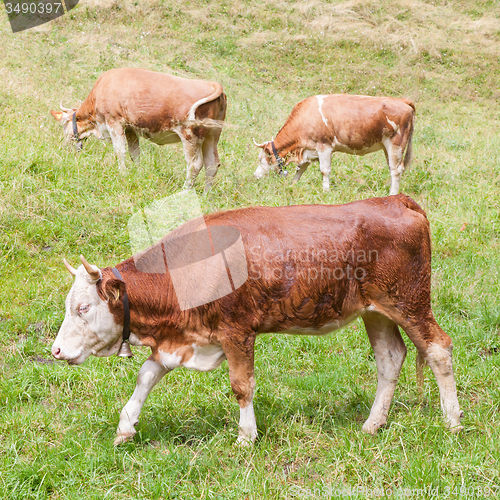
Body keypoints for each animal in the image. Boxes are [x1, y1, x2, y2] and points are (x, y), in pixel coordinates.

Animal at [50, 67, 227, 190]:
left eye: (63, 126)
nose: (63, 147)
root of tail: (213, 84)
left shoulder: (114, 121)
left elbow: (120, 151)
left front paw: (122, 174)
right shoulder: (131, 129)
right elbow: (135, 154)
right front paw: (137, 173)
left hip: (191, 135)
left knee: (195, 164)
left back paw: (185, 191)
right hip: (212, 135)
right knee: (212, 164)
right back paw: (206, 194)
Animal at [50, 194, 460, 446]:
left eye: (83, 308)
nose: (55, 351)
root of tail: (395, 200)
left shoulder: (237, 331)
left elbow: (241, 385)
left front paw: (246, 436)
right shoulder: (184, 337)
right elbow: (146, 376)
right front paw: (125, 427)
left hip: (408, 301)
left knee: (438, 348)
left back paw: (452, 420)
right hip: (375, 311)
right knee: (390, 358)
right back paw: (373, 424)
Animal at [256, 94, 416, 195]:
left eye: (260, 158)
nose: (255, 175)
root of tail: (402, 101)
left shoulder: (324, 146)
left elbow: (324, 170)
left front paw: (325, 191)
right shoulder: (309, 149)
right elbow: (300, 169)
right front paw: (293, 184)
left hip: (396, 144)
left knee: (396, 170)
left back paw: (392, 194)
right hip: (387, 147)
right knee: (392, 168)